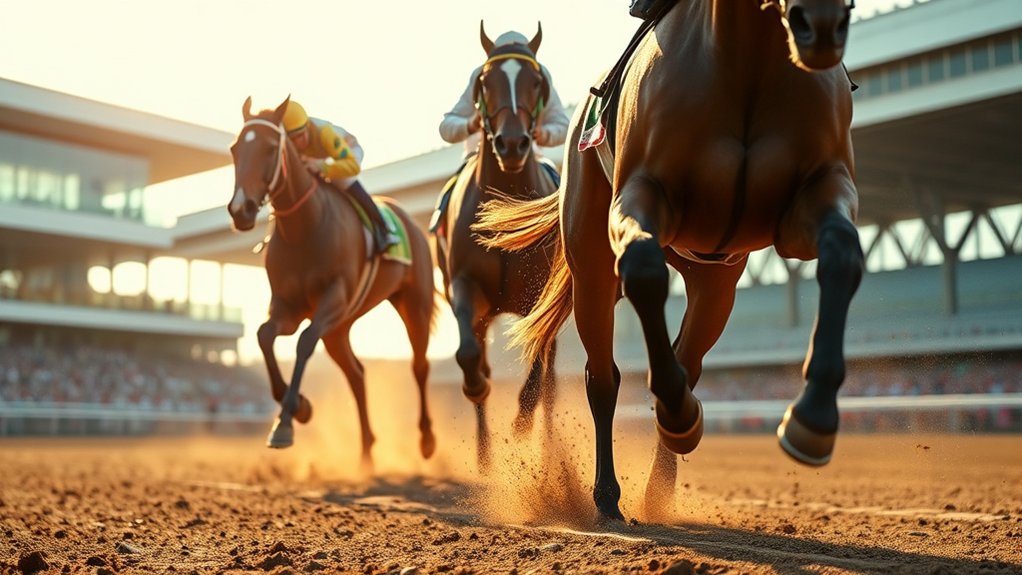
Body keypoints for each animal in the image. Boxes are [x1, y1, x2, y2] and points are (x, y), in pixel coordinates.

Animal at [227, 96, 438, 470]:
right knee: (356, 373)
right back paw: (367, 451)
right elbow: (264, 336)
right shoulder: (288, 307)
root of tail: (409, 220)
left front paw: (285, 423)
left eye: (270, 148)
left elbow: (303, 343)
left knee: (419, 365)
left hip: (413, 304)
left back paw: (426, 440)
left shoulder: (333, 299)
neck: (304, 227)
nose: (241, 210)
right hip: (340, 329)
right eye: (235, 149)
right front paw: (300, 408)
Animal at [432, 23, 560, 470]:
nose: (512, 143)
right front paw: (477, 388)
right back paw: (486, 456)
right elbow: (470, 357)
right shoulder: (466, 287)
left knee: (550, 384)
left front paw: (521, 422)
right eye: (485, 82)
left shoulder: (542, 298)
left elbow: (538, 372)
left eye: (536, 80)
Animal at [476, 0, 862, 521]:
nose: (820, 24)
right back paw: (608, 493)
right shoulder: (640, 196)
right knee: (603, 376)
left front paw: (813, 416)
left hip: (716, 282)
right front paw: (677, 415)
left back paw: (660, 485)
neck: (748, 66)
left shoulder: (815, 196)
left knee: (688, 358)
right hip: (591, 268)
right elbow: (642, 271)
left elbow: (842, 255)